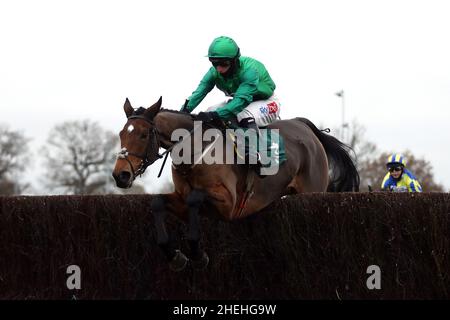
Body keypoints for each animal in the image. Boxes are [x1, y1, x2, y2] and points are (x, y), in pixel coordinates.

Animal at [113, 97, 362, 270]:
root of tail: (305, 126)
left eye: (144, 134)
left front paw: (198, 255)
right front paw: (175, 256)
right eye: (121, 134)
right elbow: (157, 203)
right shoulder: (181, 200)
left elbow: (195, 198)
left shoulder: (229, 204)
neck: (195, 150)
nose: (120, 175)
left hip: (313, 191)